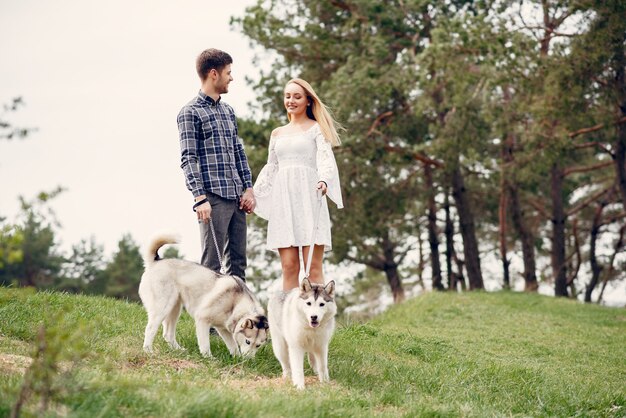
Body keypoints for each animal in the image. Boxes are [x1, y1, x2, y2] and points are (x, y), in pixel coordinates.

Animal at [138, 237, 266, 358]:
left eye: (258, 345)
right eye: (248, 342)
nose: (248, 360)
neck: (236, 303)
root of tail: (156, 261)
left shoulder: (223, 329)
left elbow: (233, 345)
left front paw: (236, 358)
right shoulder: (202, 319)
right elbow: (205, 344)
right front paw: (209, 358)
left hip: (175, 309)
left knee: (168, 334)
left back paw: (179, 350)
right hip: (162, 308)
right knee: (150, 329)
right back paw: (148, 351)